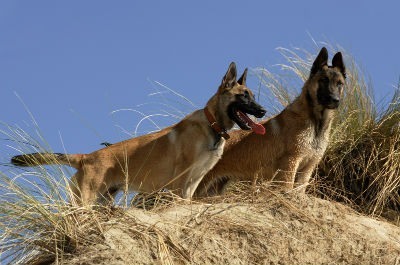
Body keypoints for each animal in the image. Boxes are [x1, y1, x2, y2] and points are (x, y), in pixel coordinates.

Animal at [10, 62, 266, 204]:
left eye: (252, 96)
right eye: (244, 96)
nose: (263, 111)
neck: (212, 126)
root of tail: (86, 157)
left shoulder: (193, 183)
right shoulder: (180, 181)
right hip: (85, 200)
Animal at [195, 47, 346, 196]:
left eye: (340, 84)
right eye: (324, 80)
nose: (335, 100)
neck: (317, 123)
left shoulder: (307, 169)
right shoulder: (291, 162)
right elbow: (288, 188)